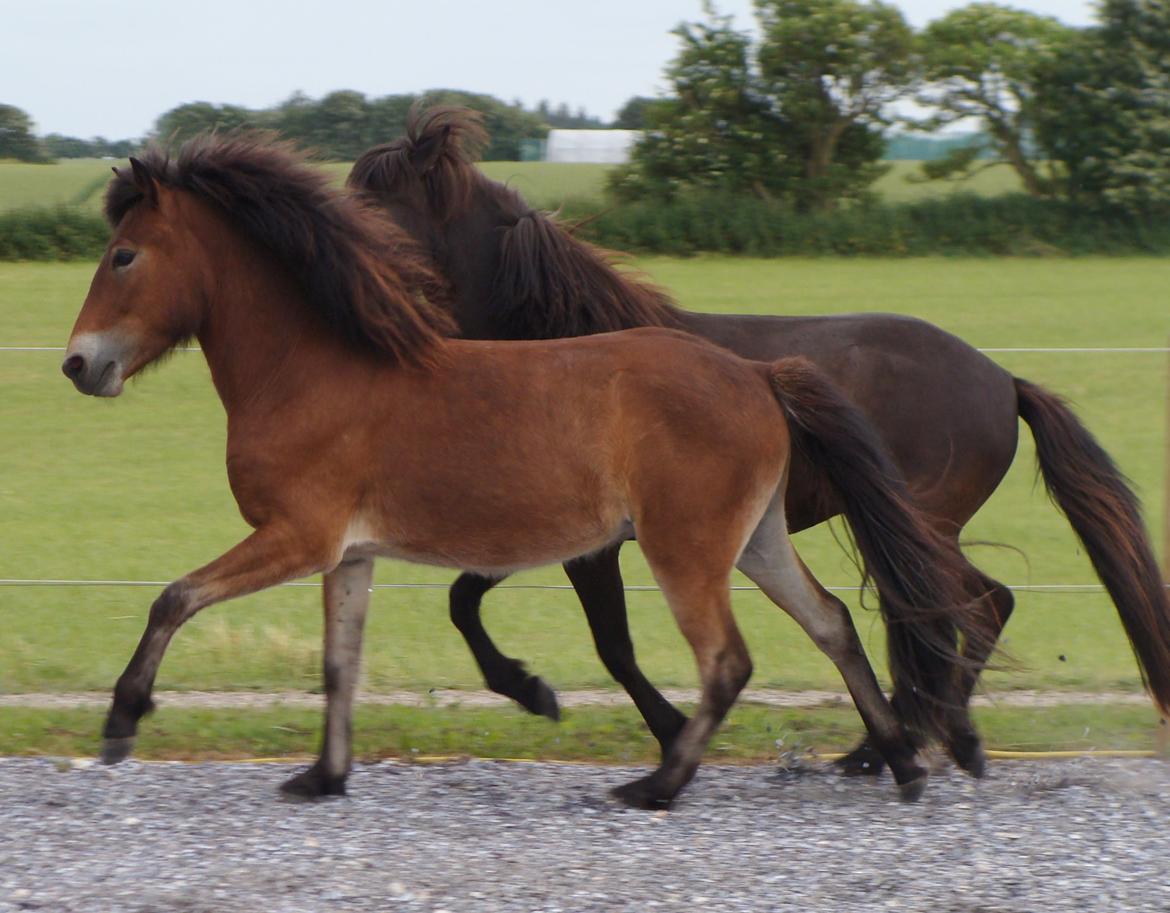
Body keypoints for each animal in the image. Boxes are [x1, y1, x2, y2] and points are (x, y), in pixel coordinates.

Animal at [59, 135, 982, 805]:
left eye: (124, 256)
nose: (78, 364)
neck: (312, 370)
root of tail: (757, 374)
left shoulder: (298, 536)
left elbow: (175, 597)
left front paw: (123, 719)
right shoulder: (348, 554)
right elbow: (338, 663)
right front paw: (324, 776)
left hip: (684, 548)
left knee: (728, 660)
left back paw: (657, 784)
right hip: (756, 539)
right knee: (834, 624)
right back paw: (902, 763)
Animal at [343, 108, 1170, 777]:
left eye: (373, 199)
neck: (561, 342)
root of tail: (1002, 379)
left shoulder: (593, 543)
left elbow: (608, 642)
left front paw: (662, 727)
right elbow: (466, 600)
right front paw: (534, 690)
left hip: (920, 523)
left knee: (969, 607)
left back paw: (920, 742)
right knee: (966, 610)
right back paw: (895, 745)